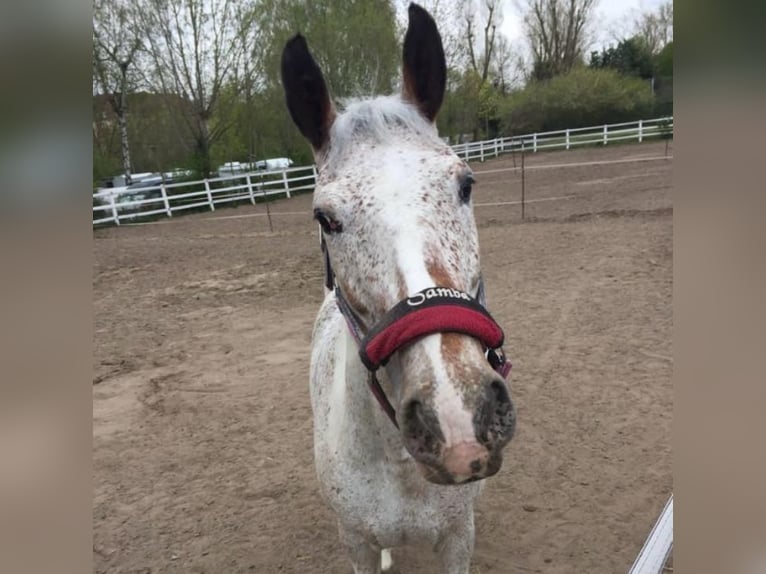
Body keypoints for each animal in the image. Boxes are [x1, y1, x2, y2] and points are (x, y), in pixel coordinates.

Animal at [280, 5, 520, 574]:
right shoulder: (356, 543)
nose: (456, 417)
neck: (399, 468)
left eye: (466, 184)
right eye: (325, 218)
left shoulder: (458, 537)